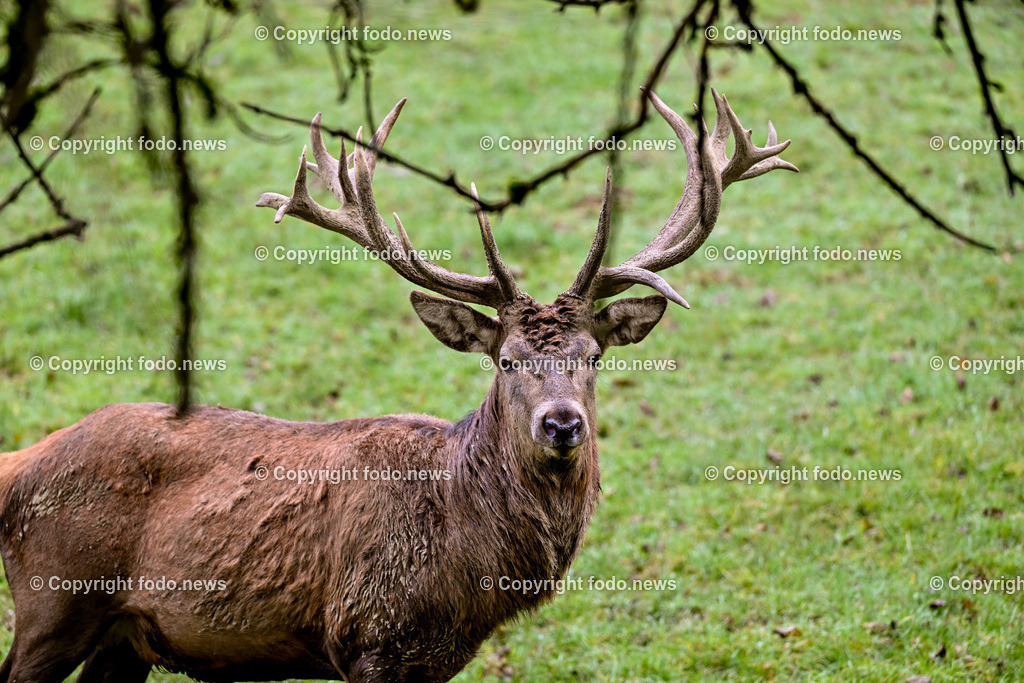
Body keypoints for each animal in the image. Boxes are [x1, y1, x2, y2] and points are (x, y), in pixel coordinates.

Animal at [0, 88, 795, 683]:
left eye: (593, 355)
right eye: (505, 359)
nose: (562, 424)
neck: (469, 563)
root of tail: (17, 468)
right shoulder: (367, 637)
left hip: (123, 634)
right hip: (51, 603)